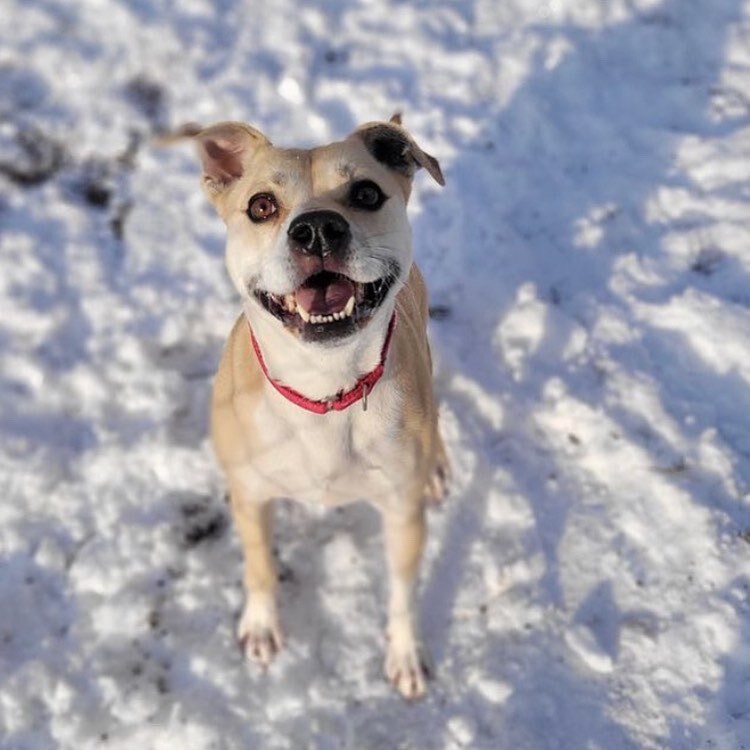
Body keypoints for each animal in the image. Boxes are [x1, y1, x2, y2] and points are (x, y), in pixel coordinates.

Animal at [187, 114, 450, 704]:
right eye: (262, 205)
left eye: (367, 193)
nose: (318, 230)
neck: (326, 389)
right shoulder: (251, 494)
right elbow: (259, 565)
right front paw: (262, 627)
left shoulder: (402, 512)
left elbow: (403, 592)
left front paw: (405, 656)